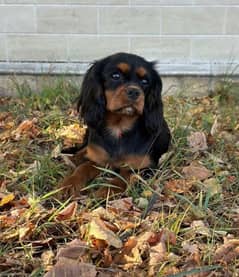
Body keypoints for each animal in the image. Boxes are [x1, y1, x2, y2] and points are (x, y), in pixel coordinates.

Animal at [60, 52, 171, 198]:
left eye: (145, 82)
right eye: (115, 76)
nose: (134, 92)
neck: (119, 127)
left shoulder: (145, 168)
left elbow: (124, 177)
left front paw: (105, 192)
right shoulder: (98, 161)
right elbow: (82, 168)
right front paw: (68, 185)